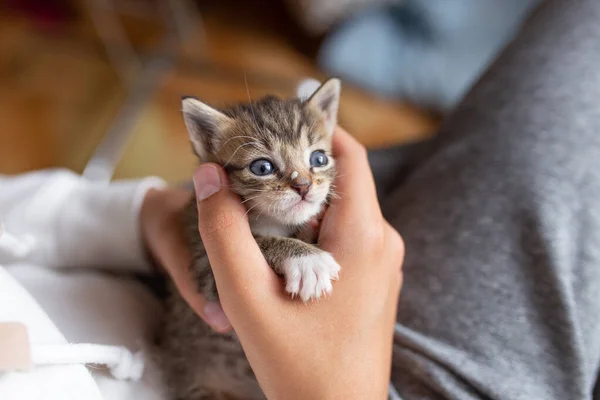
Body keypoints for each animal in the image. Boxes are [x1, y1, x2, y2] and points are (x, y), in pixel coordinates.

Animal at [158, 79, 342, 400]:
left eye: (318, 159)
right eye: (262, 167)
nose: (304, 186)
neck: (271, 221)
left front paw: (310, 228)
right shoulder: (204, 265)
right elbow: (258, 242)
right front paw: (307, 260)